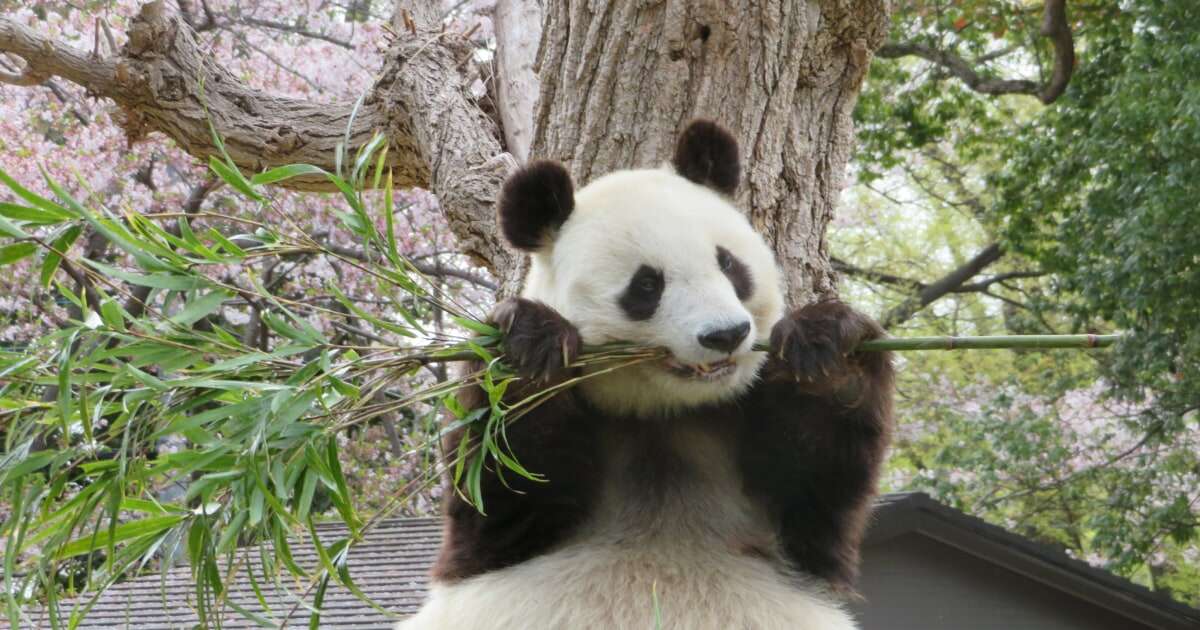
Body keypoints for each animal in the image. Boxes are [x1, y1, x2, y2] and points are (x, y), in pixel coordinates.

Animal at [400, 120, 892, 628]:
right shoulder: (501, 536)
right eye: (647, 285)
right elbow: (504, 484)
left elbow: (813, 483)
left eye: (729, 264)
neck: (663, 416)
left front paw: (826, 349)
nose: (726, 334)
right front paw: (529, 348)